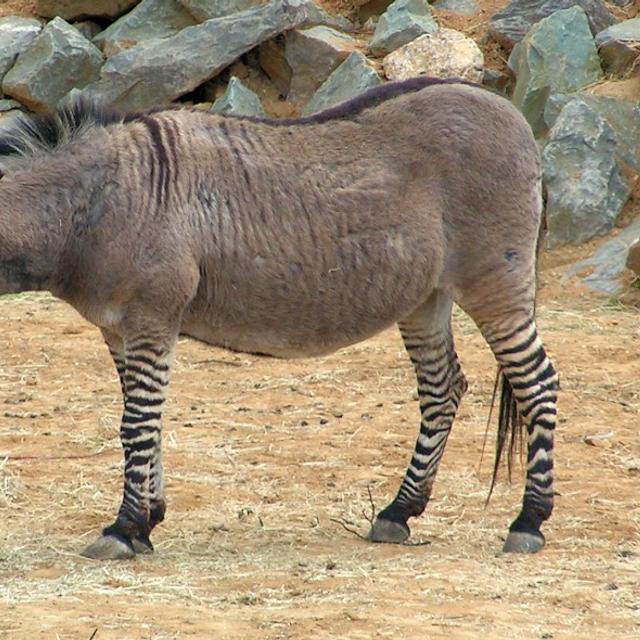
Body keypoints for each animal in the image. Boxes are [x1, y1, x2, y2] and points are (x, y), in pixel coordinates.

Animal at [0, 77, 558, 560]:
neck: (98, 201)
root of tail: (504, 107)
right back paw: (398, 513)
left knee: (536, 381)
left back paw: (529, 522)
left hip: (495, 279)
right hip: (426, 296)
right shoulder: (118, 328)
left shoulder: (151, 317)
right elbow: (145, 424)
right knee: (443, 389)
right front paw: (147, 522)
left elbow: (136, 424)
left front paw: (124, 528)